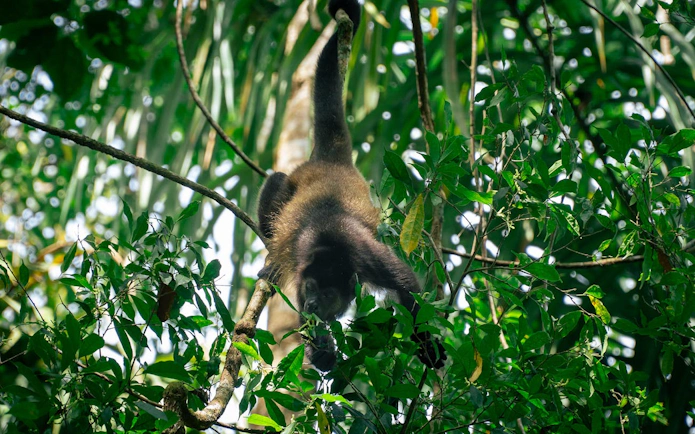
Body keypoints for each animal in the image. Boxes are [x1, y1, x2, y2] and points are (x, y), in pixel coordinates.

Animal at [257, 0, 445, 372]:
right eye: (312, 288)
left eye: (328, 295)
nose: (315, 305)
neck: (330, 242)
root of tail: (334, 162)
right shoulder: (303, 266)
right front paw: (321, 350)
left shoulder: (369, 257)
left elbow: (408, 286)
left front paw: (426, 344)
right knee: (277, 180)